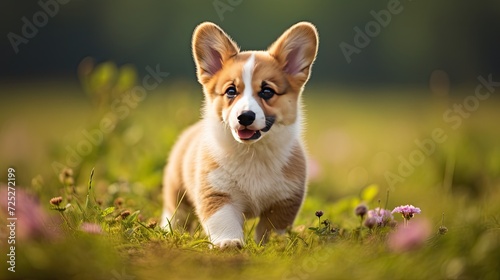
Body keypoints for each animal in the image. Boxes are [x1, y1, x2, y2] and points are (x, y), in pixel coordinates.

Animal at [162, 22, 318, 249]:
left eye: (267, 92)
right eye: (231, 91)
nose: (245, 116)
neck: (251, 153)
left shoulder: (285, 200)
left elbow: (271, 228)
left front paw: (272, 245)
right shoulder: (217, 192)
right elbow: (223, 221)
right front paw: (228, 242)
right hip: (177, 191)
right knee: (176, 214)